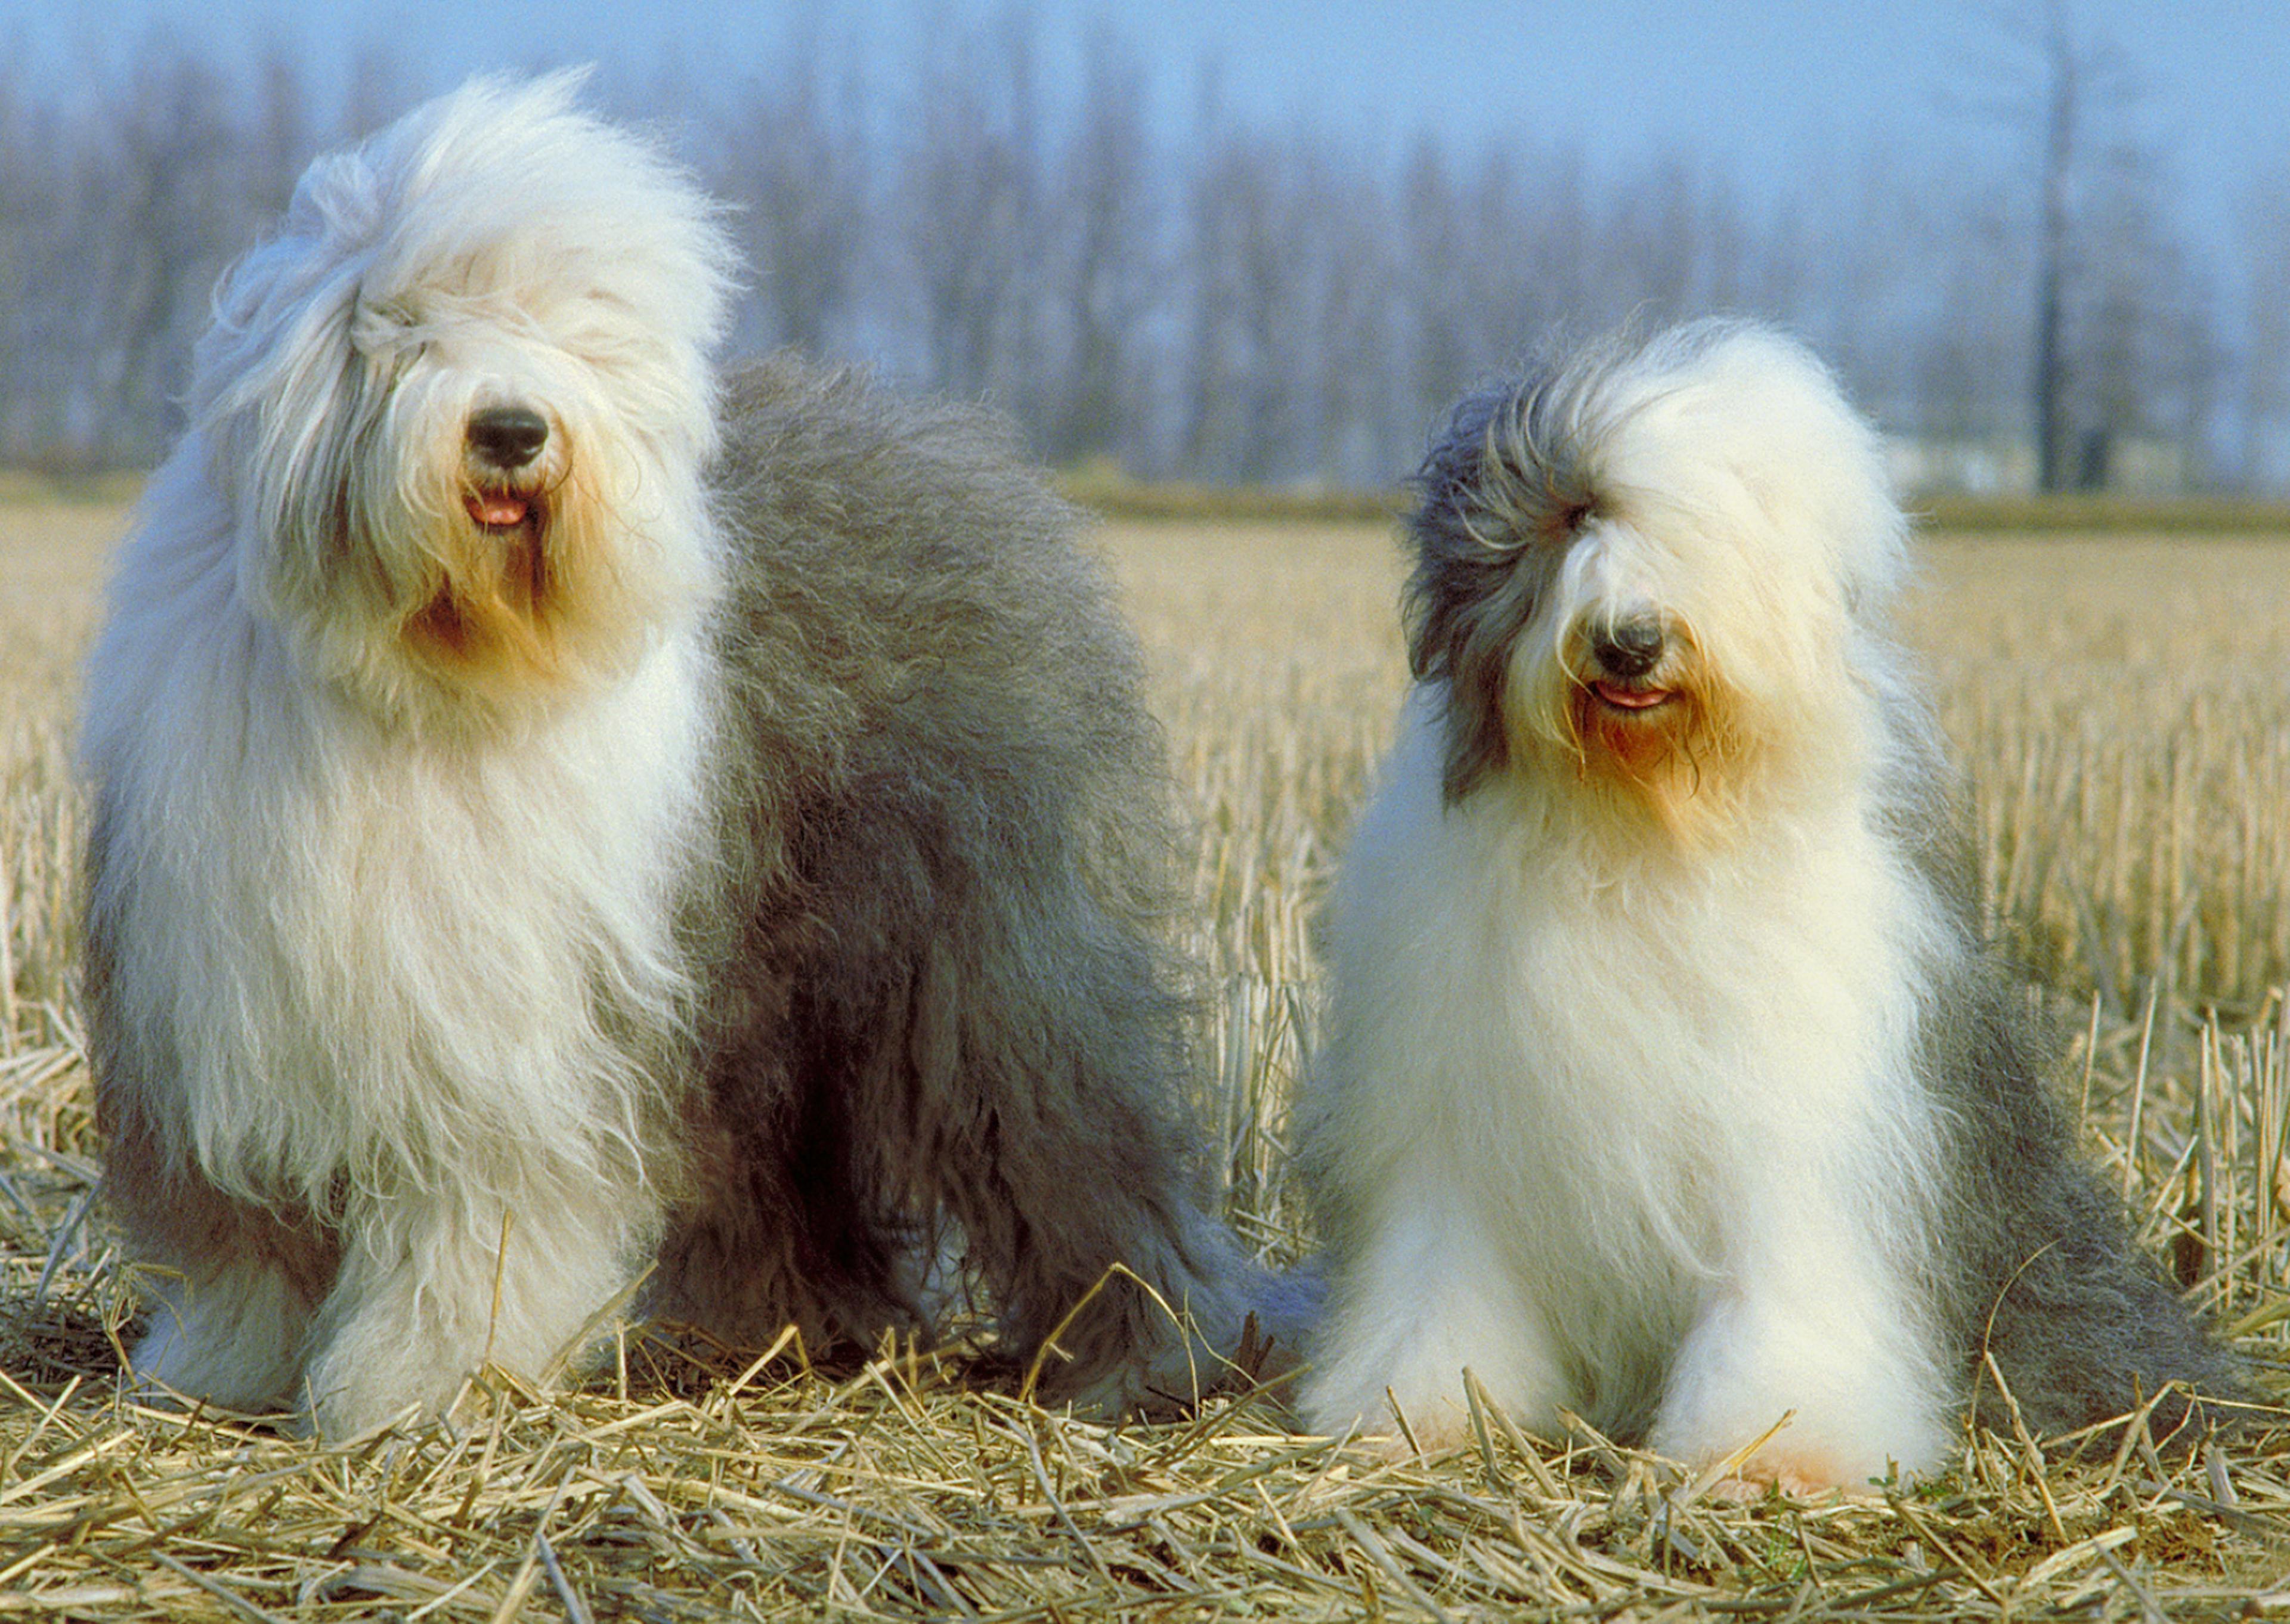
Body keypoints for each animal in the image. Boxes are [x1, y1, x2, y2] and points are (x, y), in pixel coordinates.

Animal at [89, 72, 1264, 1429]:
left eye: (565, 335)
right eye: (410, 324)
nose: (511, 430)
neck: (431, 673)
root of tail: (964, 452)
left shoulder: (514, 1041)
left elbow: (475, 1224)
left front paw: (416, 1384)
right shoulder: (233, 1010)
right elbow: (248, 1237)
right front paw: (219, 1370)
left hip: (992, 965)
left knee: (1080, 1148)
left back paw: (1154, 1358)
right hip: (773, 986)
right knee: (788, 1174)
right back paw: (791, 1330)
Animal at [1301, 320, 2244, 1493]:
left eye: (1709, 534)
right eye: (1572, 520)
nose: (1628, 639)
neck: (1641, 830)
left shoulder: (1804, 1123)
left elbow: (1785, 1285)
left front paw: (1777, 1449)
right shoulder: (1452, 1116)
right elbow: (1443, 1278)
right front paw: (1418, 1413)